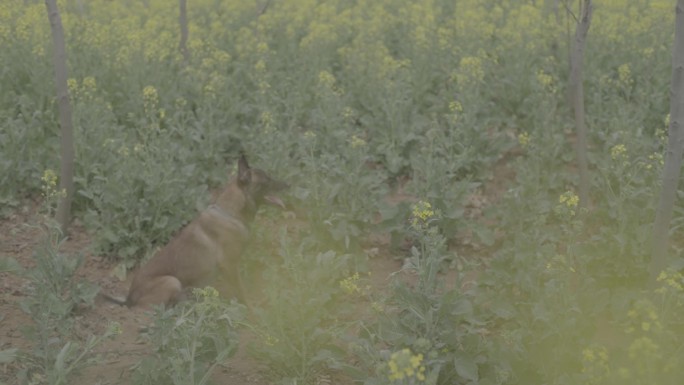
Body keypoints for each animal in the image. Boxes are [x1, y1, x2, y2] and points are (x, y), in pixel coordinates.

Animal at [105, 153, 288, 306]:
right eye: (267, 181)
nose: (288, 184)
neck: (229, 213)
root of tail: (129, 299)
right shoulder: (229, 265)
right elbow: (242, 291)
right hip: (172, 281)